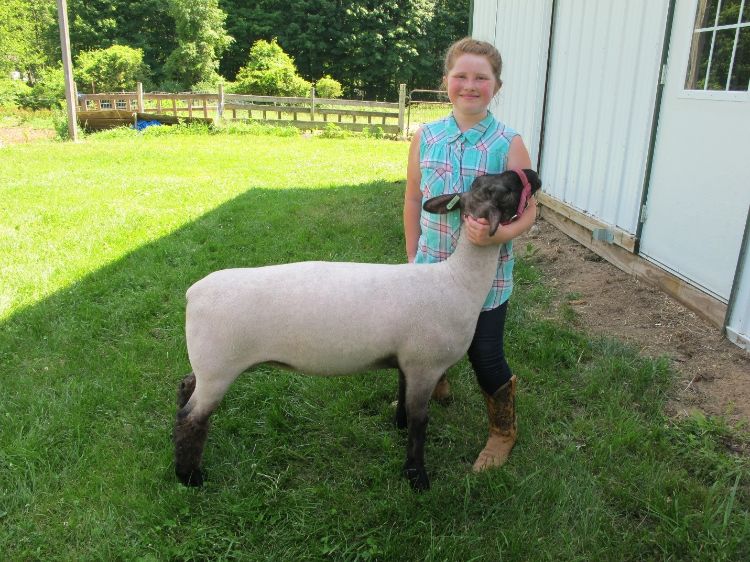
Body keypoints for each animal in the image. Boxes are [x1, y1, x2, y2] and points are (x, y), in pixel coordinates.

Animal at [174, 168, 541, 491]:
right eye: (502, 190)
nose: (532, 173)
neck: (457, 280)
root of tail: (193, 293)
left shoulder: (407, 361)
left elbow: (404, 399)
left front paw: (398, 427)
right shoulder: (425, 365)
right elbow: (420, 422)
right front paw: (417, 478)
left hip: (207, 364)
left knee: (185, 387)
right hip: (219, 368)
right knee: (192, 419)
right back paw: (189, 477)